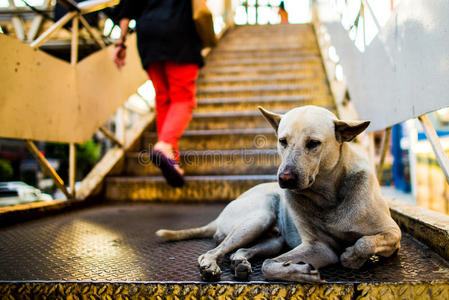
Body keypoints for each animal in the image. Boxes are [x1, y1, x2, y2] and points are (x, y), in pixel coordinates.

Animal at [155, 105, 400, 282]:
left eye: (313, 143)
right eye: (282, 141)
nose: (284, 178)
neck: (327, 197)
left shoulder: (392, 233)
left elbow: (365, 242)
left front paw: (352, 257)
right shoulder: (319, 247)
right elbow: (268, 265)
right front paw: (300, 273)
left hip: (274, 240)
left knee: (241, 250)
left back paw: (240, 263)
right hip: (258, 218)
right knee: (214, 251)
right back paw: (210, 266)